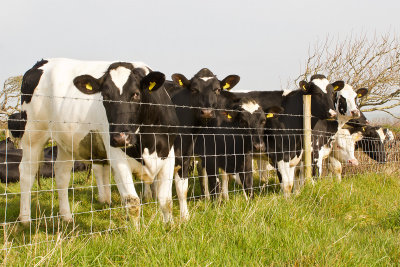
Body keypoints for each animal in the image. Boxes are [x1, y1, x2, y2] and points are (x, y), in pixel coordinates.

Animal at [16, 58, 177, 224]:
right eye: (105, 96)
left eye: (136, 94)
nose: (120, 137)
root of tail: (42, 62)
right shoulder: (116, 155)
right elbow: (132, 201)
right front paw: (136, 230)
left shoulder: (169, 153)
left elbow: (166, 200)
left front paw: (170, 226)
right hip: (33, 135)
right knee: (27, 173)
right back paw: (25, 219)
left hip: (66, 142)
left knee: (61, 174)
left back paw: (66, 217)